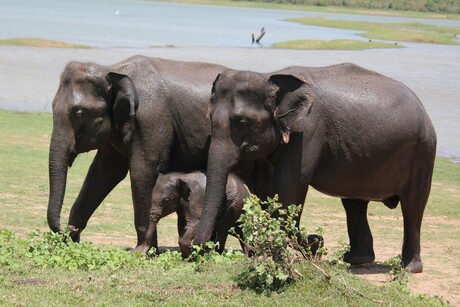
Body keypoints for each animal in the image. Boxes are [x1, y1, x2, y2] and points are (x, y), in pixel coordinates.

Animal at [47, 55, 235, 251]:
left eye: (79, 113)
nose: (67, 229)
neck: (111, 70)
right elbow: (102, 174)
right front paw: (68, 245)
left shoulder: (150, 120)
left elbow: (141, 174)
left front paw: (143, 250)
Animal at [192, 63, 436, 274]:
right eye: (209, 117)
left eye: (241, 123)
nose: (317, 239)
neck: (270, 76)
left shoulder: (307, 131)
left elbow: (288, 191)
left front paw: (309, 246)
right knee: (354, 204)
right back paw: (355, 259)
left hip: (423, 152)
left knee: (413, 207)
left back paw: (409, 268)